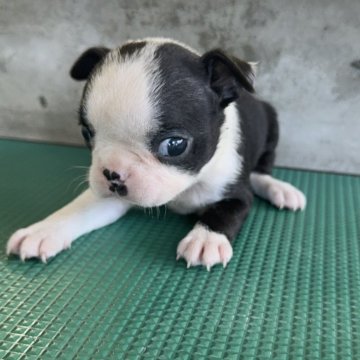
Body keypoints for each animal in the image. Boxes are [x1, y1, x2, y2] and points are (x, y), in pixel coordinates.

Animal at [5, 38, 306, 270]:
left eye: (174, 145)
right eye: (86, 133)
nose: (112, 173)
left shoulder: (236, 193)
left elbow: (224, 213)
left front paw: (206, 238)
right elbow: (79, 209)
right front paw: (43, 230)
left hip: (272, 125)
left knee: (261, 171)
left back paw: (280, 189)